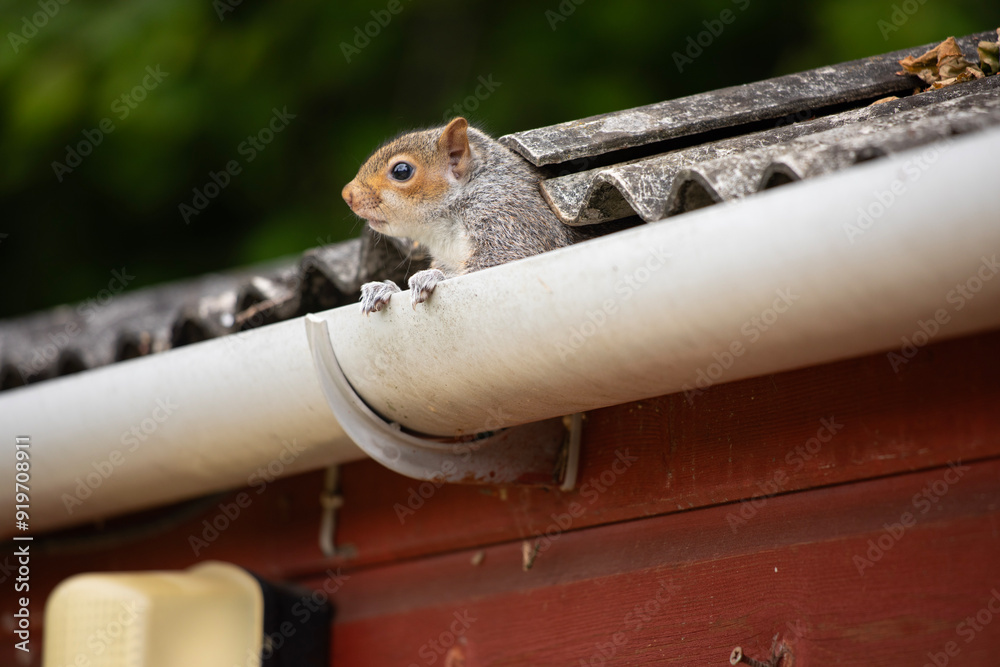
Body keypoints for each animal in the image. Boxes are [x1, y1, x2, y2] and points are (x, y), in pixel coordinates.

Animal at [344, 118, 580, 316]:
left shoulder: (513, 219)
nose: (347, 195)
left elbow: (507, 258)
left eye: (402, 171)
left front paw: (430, 277)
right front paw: (384, 288)